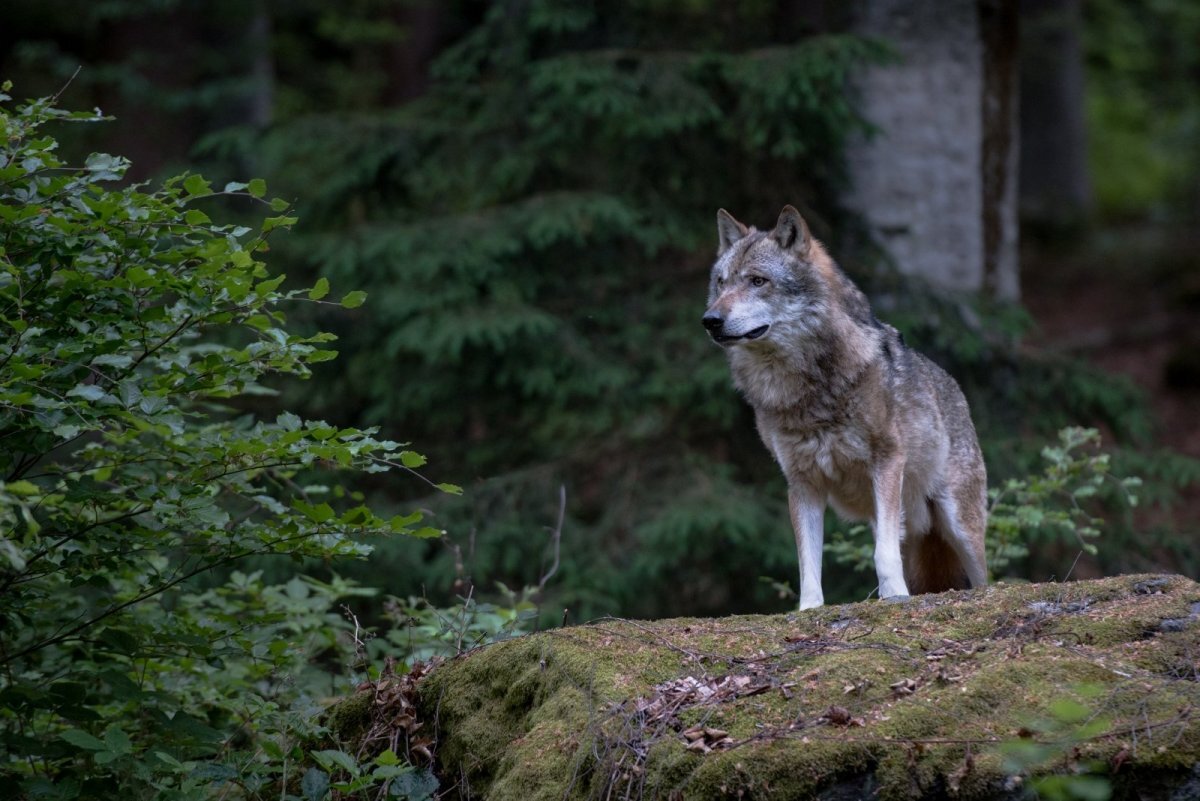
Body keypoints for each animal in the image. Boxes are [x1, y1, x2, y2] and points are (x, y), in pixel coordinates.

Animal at [700, 205, 988, 606]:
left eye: (758, 281)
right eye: (722, 283)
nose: (710, 321)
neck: (804, 391)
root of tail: (955, 389)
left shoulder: (887, 461)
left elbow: (882, 554)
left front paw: (895, 597)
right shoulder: (801, 484)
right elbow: (808, 562)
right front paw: (809, 608)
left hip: (958, 524)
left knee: (984, 578)